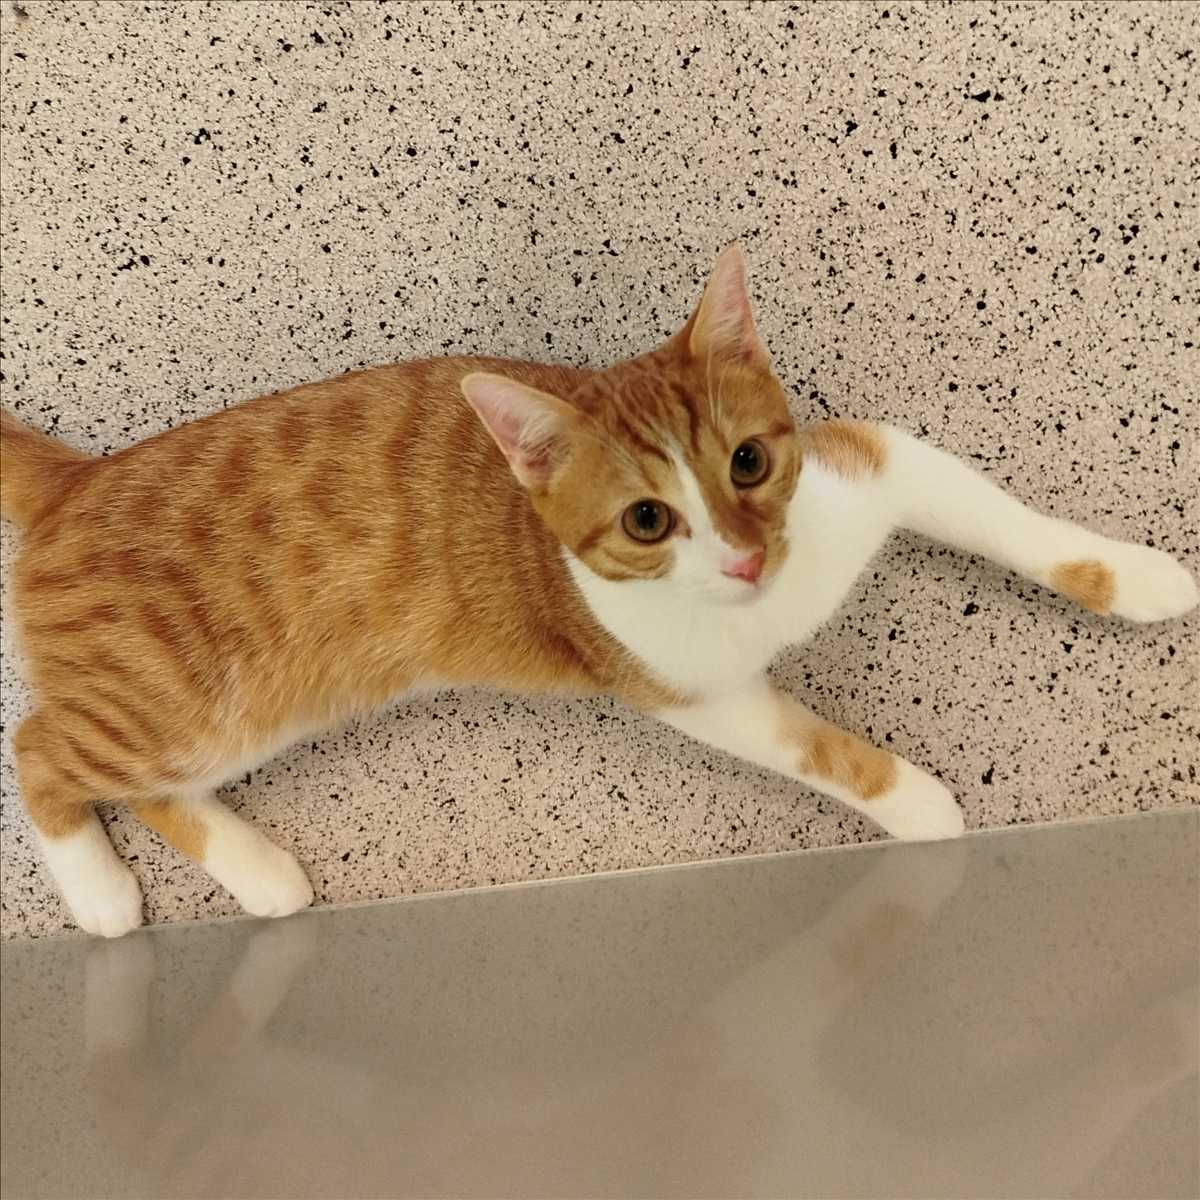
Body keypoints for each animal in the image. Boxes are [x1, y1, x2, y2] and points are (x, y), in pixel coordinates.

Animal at [2, 245, 1195, 937]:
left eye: (749, 463)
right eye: (646, 521)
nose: (747, 558)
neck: (772, 598)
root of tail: (82, 477)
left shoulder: (875, 465)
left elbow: (1023, 528)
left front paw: (1141, 574)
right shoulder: (701, 696)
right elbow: (826, 753)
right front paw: (921, 805)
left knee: (140, 785)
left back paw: (256, 872)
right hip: (197, 708)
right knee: (43, 753)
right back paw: (109, 897)